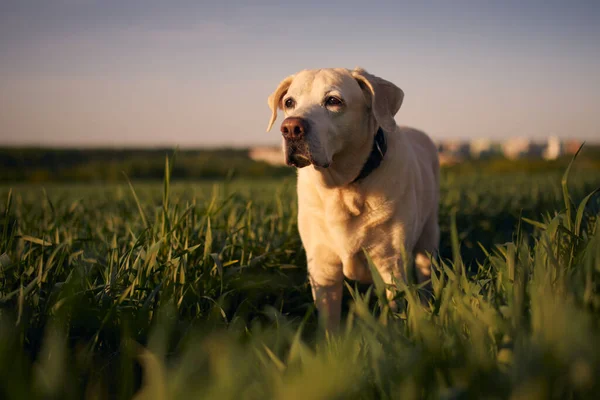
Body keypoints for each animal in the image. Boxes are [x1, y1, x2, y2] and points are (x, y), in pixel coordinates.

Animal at [264, 68, 438, 332]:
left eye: (333, 101)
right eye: (289, 102)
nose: (291, 128)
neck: (341, 188)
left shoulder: (391, 264)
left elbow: (395, 309)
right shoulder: (322, 267)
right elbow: (329, 321)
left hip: (428, 237)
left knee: (425, 274)